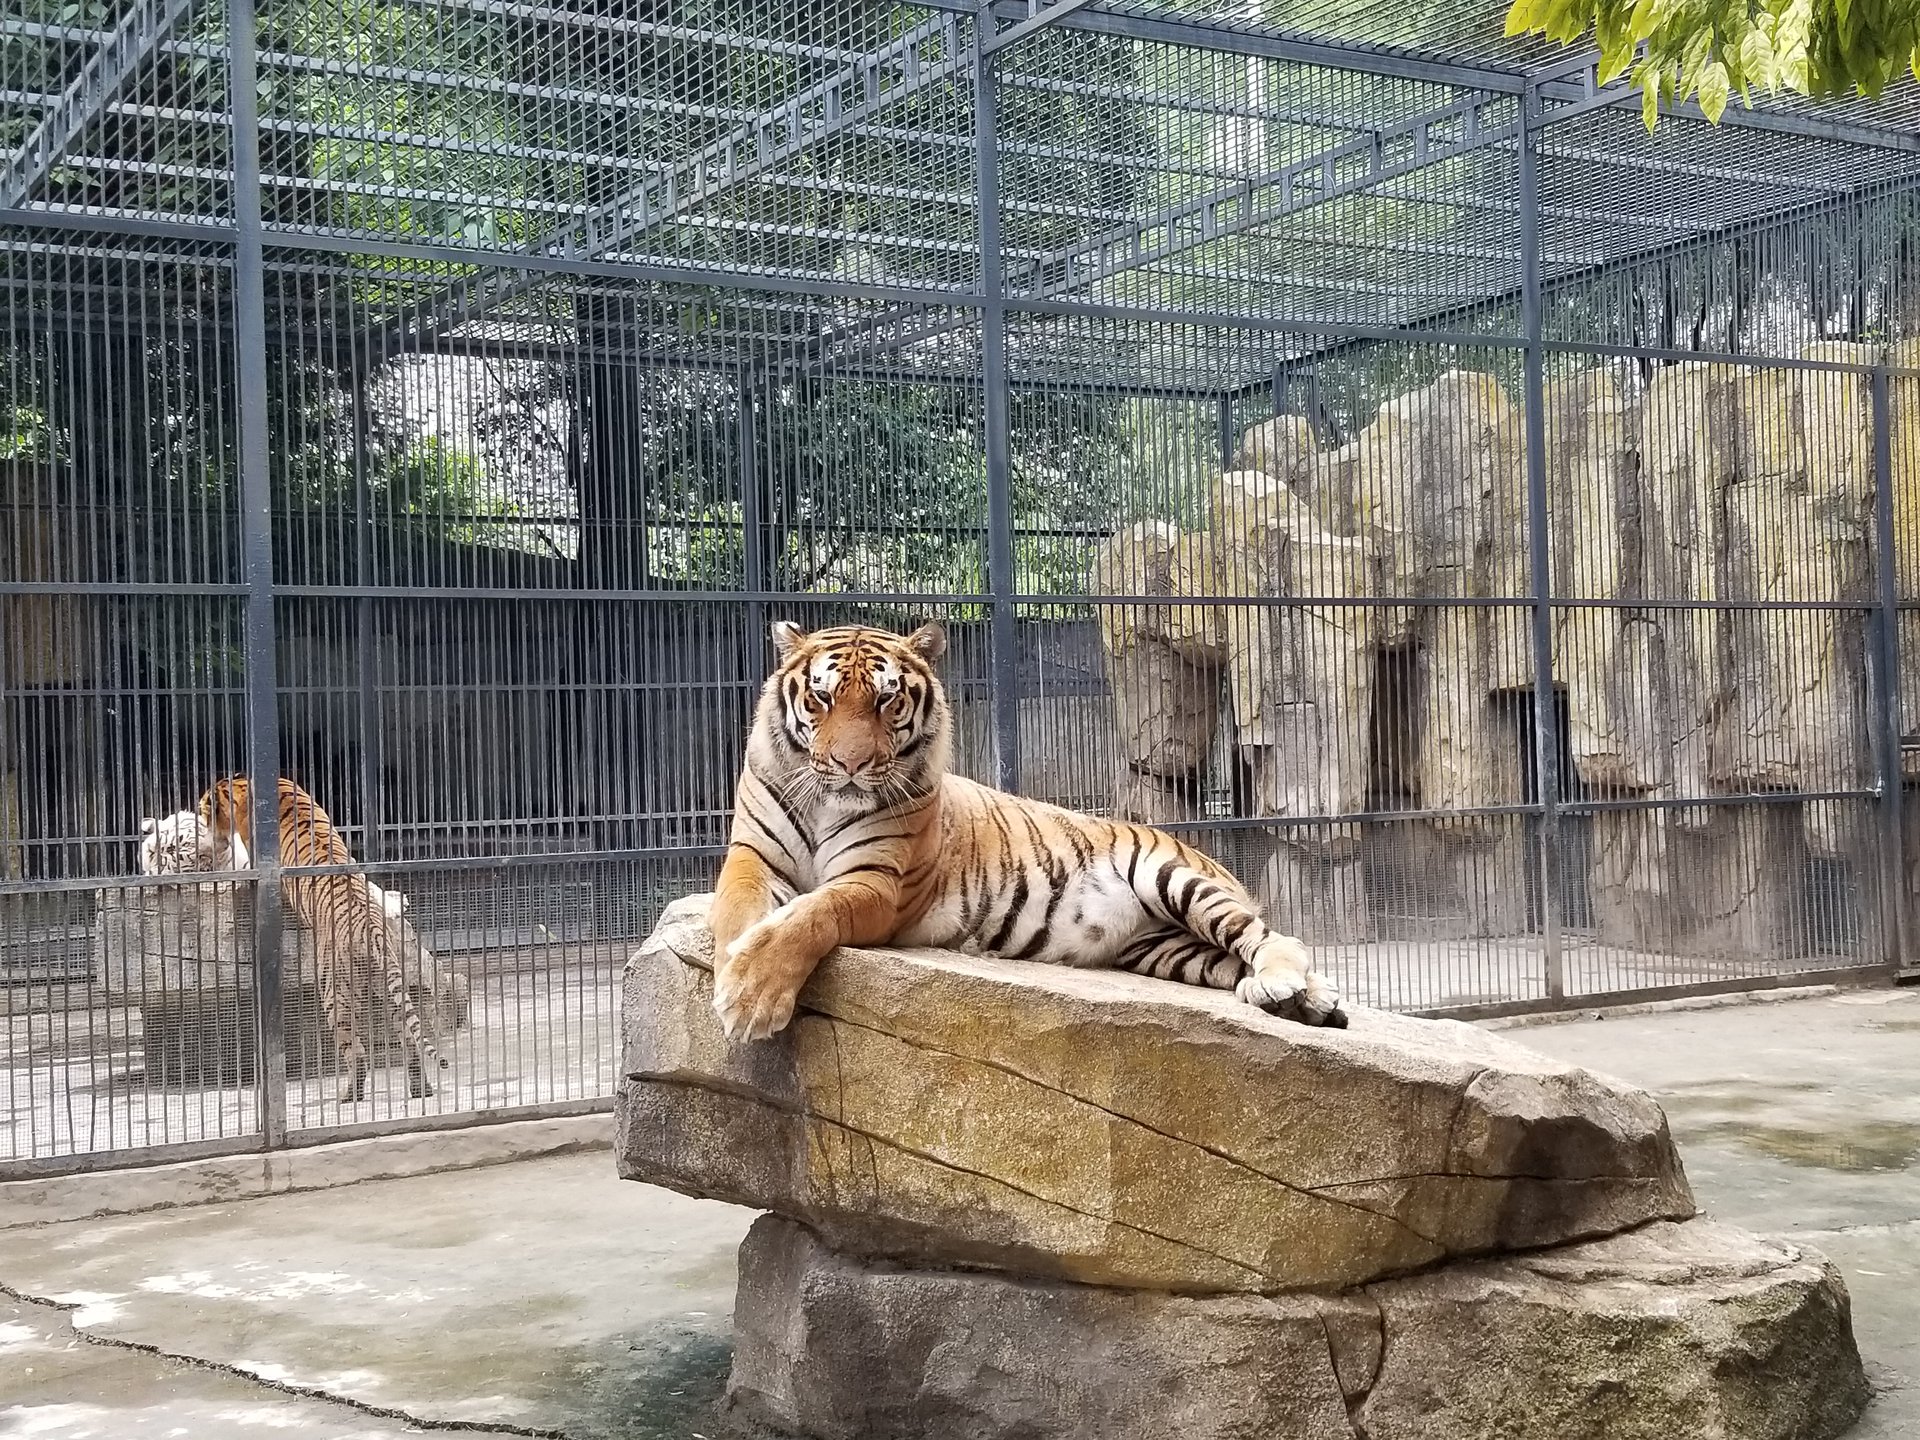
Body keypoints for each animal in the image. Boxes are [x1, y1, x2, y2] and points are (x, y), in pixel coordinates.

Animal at [196, 779, 447, 1105]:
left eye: (204, 807)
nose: (201, 818)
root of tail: (371, 932)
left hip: (335, 994)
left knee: (357, 1053)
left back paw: (350, 1094)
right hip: (391, 991)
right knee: (409, 1042)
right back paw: (421, 1089)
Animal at [710, 625, 1351, 1044]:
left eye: (887, 700)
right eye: (821, 697)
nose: (850, 765)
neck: (826, 802)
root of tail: (1206, 855)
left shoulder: (878, 882)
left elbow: (814, 914)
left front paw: (749, 994)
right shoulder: (752, 854)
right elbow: (736, 906)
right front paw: (731, 968)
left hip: (1173, 879)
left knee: (1270, 936)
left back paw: (1288, 985)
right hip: (1166, 949)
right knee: (1232, 960)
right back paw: (1308, 1004)